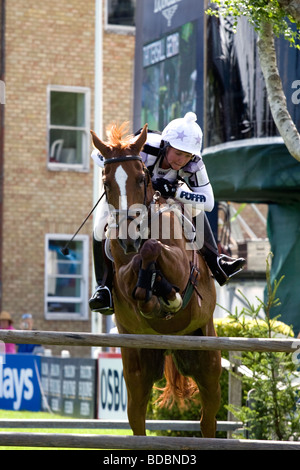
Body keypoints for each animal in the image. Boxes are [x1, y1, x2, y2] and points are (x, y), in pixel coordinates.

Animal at [90, 121, 221, 436]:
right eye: (106, 183)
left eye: (141, 179)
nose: (128, 238)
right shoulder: (123, 278)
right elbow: (137, 279)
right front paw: (153, 292)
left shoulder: (182, 268)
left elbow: (153, 250)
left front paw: (167, 293)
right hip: (137, 363)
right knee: (137, 417)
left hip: (208, 359)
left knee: (208, 417)